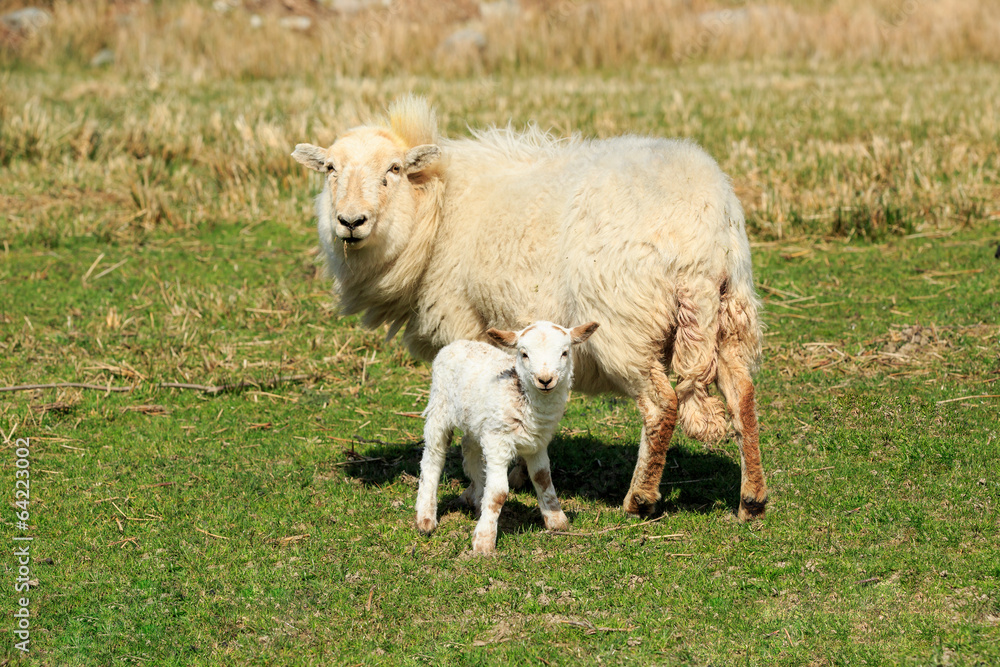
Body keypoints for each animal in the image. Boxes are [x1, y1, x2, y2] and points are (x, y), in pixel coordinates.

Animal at [292, 96, 767, 521]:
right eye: (330, 169)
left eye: (393, 169)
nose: (350, 223)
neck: (437, 206)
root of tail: (696, 237)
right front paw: (517, 469)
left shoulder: (466, 324)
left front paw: (477, 485)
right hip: (732, 310)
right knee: (742, 395)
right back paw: (752, 500)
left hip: (627, 323)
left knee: (660, 405)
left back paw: (640, 499)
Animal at [415, 320, 599, 555]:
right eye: (524, 354)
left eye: (565, 353)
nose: (545, 380)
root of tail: (456, 344)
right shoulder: (498, 442)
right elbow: (498, 493)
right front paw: (484, 541)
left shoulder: (538, 442)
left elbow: (542, 478)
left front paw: (556, 520)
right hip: (440, 406)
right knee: (433, 458)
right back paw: (426, 518)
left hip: (478, 420)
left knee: (469, 448)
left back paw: (477, 499)